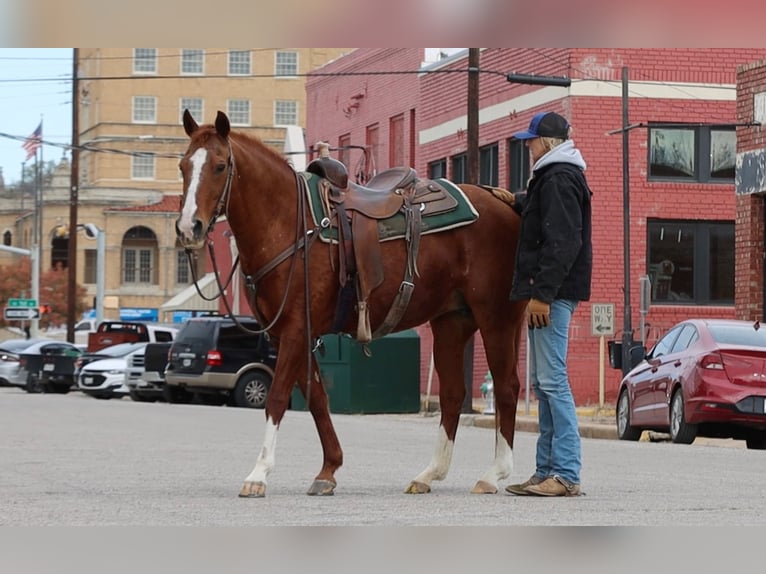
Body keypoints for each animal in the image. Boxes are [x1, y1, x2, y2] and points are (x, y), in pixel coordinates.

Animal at [176, 109, 527, 497]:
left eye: (220, 166)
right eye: (182, 166)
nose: (189, 227)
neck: (288, 223)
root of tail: (503, 201)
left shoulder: (296, 329)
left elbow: (277, 397)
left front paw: (258, 474)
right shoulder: (287, 335)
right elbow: (316, 398)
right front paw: (328, 470)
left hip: (496, 316)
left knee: (506, 387)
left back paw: (493, 474)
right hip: (452, 321)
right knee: (452, 394)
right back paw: (428, 474)